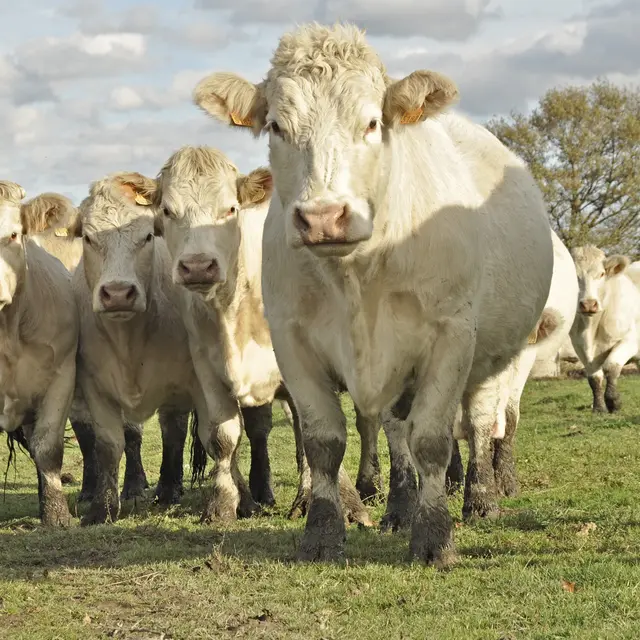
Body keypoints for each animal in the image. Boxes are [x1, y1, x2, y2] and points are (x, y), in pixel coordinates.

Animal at [71, 172, 199, 525]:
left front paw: (168, 490)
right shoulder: (97, 388)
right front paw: (102, 507)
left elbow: (174, 434)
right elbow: (110, 443)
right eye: (89, 238)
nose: (117, 293)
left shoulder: (179, 385)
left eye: (146, 237)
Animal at [151, 145, 370, 524]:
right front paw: (223, 504)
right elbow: (222, 437)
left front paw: (338, 503)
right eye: (168, 210)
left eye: (230, 209)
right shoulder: (206, 370)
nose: (198, 266)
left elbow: (312, 433)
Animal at [192, 23, 556, 566]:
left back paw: (481, 499)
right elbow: (324, 442)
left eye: (371, 123)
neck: (356, 277)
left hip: (493, 358)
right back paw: (400, 508)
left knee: (477, 423)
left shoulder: (451, 337)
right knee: (396, 428)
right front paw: (324, 532)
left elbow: (433, 441)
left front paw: (434, 537)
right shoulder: (293, 342)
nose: (323, 217)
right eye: (277, 126)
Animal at [569, 245, 640, 413]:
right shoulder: (580, 348)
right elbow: (594, 377)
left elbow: (611, 367)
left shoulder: (630, 341)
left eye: (601, 274)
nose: (589, 304)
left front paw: (614, 402)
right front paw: (599, 407)